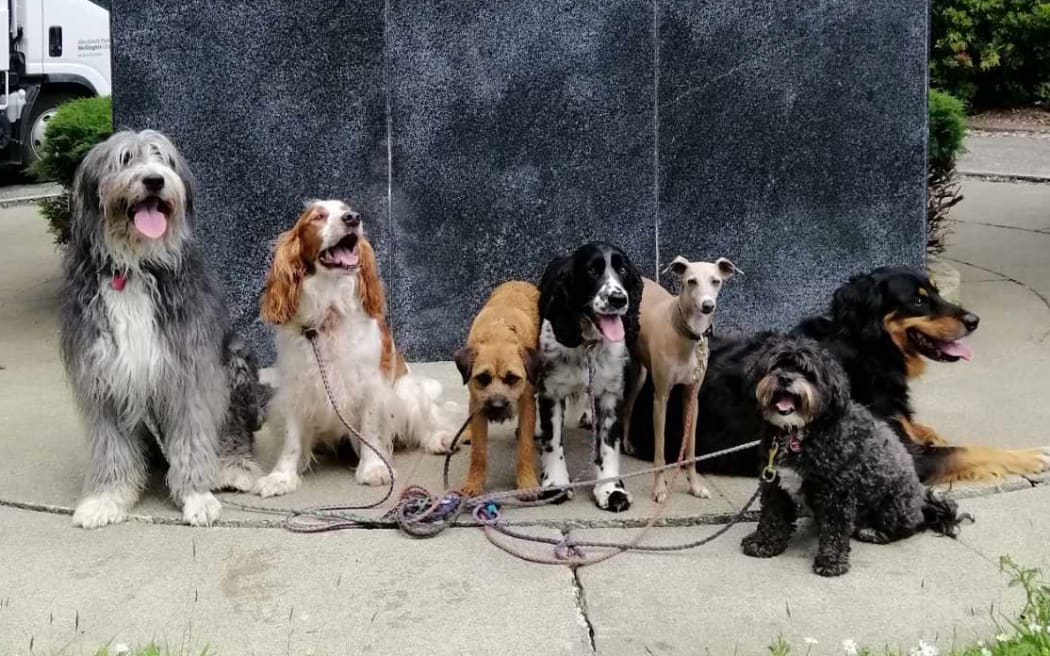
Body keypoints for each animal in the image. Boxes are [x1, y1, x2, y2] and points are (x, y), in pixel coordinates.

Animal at [60, 129, 266, 526]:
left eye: (163, 158)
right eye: (125, 159)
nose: (154, 180)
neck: (135, 268)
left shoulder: (190, 372)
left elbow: (192, 439)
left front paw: (196, 495)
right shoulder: (102, 377)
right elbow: (110, 447)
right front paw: (108, 498)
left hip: (234, 357)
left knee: (234, 426)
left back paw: (234, 466)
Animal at [453, 279, 541, 493]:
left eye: (513, 378)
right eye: (483, 378)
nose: (497, 406)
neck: (498, 334)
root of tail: (518, 281)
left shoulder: (527, 402)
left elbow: (525, 446)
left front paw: (527, 482)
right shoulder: (477, 402)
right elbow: (478, 451)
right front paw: (474, 483)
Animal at [739, 335, 965, 575]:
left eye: (807, 372)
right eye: (775, 366)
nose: (784, 378)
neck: (797, 432)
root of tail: (923, 503)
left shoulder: (837, 491)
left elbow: (835, 528)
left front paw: (831, 560)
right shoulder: (774, 484)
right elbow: (773, 516)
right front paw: (764, 542)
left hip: (894, 504)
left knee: (907, 528)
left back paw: (874, 532)